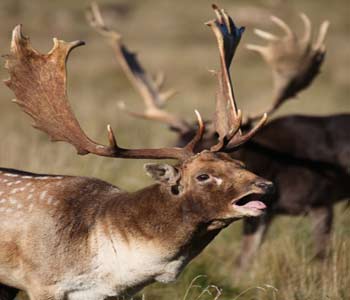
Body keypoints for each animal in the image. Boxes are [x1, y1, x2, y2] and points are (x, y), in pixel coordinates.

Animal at [87, 2, 348, 270]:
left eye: (209, 143)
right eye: (176, 142)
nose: (174, 184)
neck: (275, 166)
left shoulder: (321, 201)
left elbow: (321, 258)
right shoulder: (262, 214)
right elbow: (243, 262)